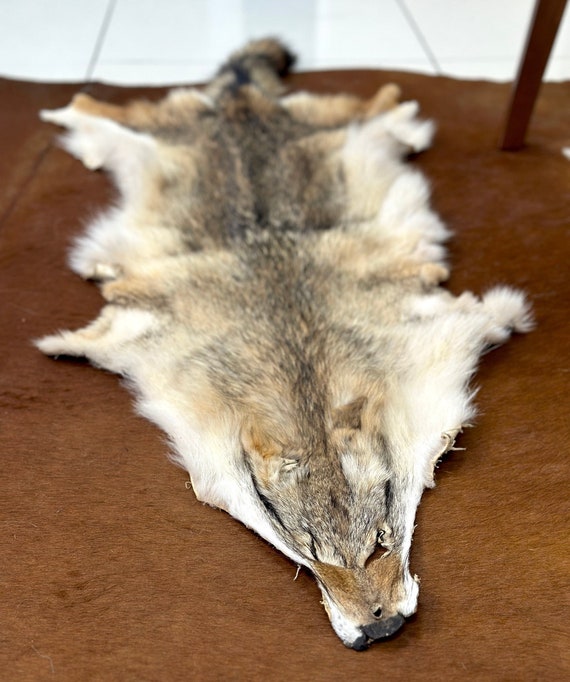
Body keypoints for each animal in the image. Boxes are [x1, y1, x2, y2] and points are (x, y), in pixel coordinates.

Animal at [35, 38, 533, 650]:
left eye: (381, 543)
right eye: (312, 555)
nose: (382, 629)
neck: (299, 371)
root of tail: (241, 102)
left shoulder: (450, 327)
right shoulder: (141, 342)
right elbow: (88, 336)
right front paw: (57, 342)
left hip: (360, 125)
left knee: (388, 96)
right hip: (131, 135)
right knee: (87, 102)